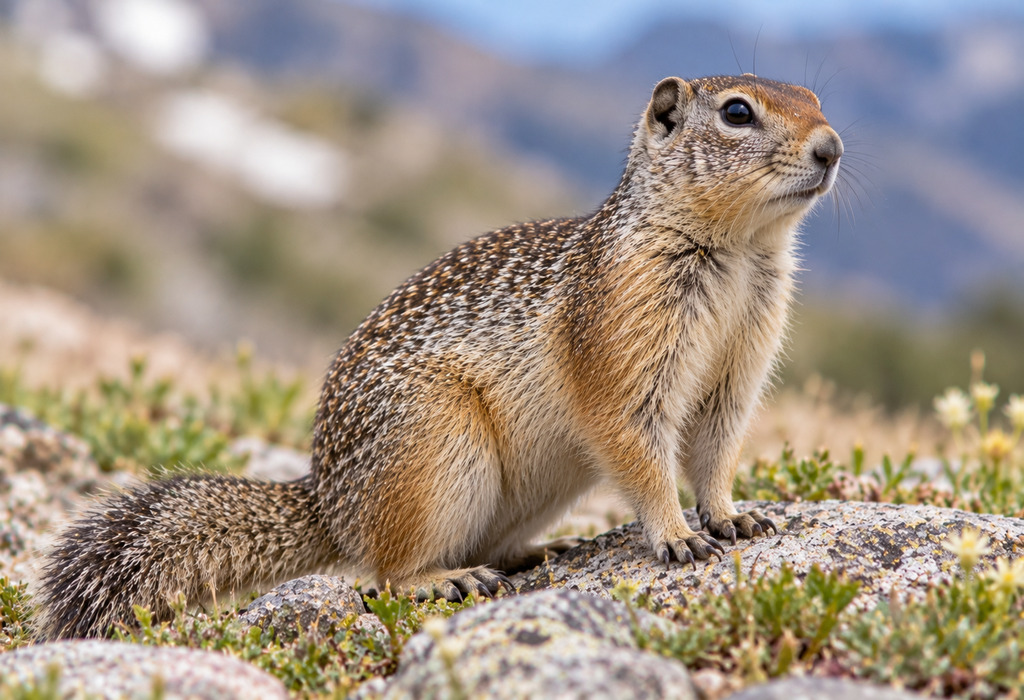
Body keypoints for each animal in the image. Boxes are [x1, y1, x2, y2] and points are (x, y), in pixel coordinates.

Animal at [36, 74, 843, 640]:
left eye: (814, 98)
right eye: (737, 112)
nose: (832, 146)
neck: (737, 251)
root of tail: (328, 503)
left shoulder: (743, 357)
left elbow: (718, 443)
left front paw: (733, 518)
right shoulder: (624, 333)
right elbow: (636, 441)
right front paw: (675, 536)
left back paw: (530, 554)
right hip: (433, 445)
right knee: (381, 571)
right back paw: (443, 580)